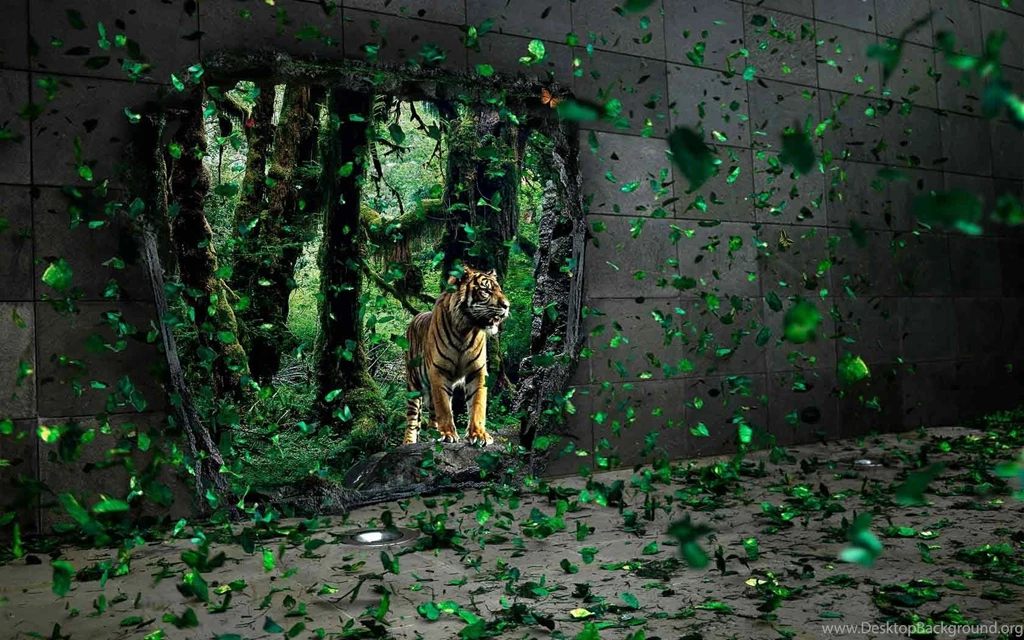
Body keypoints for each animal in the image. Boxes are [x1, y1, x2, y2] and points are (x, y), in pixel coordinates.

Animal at [403, 266, 510, 446]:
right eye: (486, 291)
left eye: (500, 290)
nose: (507, 306)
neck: (465, 330)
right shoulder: (439, 371)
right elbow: (444, 407)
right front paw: (447, 434)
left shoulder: (477, 371)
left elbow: (477, 403)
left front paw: (479, 434)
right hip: (413, 384)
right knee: (412, 418)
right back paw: (409, 442)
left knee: (432, 412)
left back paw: (433, 433)